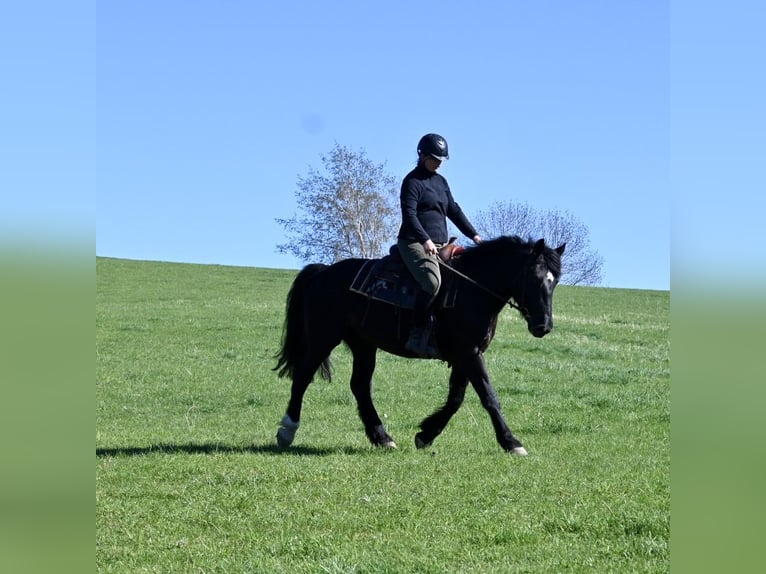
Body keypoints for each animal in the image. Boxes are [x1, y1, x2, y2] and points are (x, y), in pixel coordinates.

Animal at [273, 235, 566, 455]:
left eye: (555, 280)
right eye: (534, 277)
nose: (543, 326)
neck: (472, 290)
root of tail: (323, 272)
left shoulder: (467, 355)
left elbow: (456, 398)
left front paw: (426, 434)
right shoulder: (469, 353)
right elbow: (489, 396)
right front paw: (511, 442)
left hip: (364, 345)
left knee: (360, 386)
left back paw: (382, 437)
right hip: (323, 338)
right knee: (302, 377)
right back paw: (287, 430)